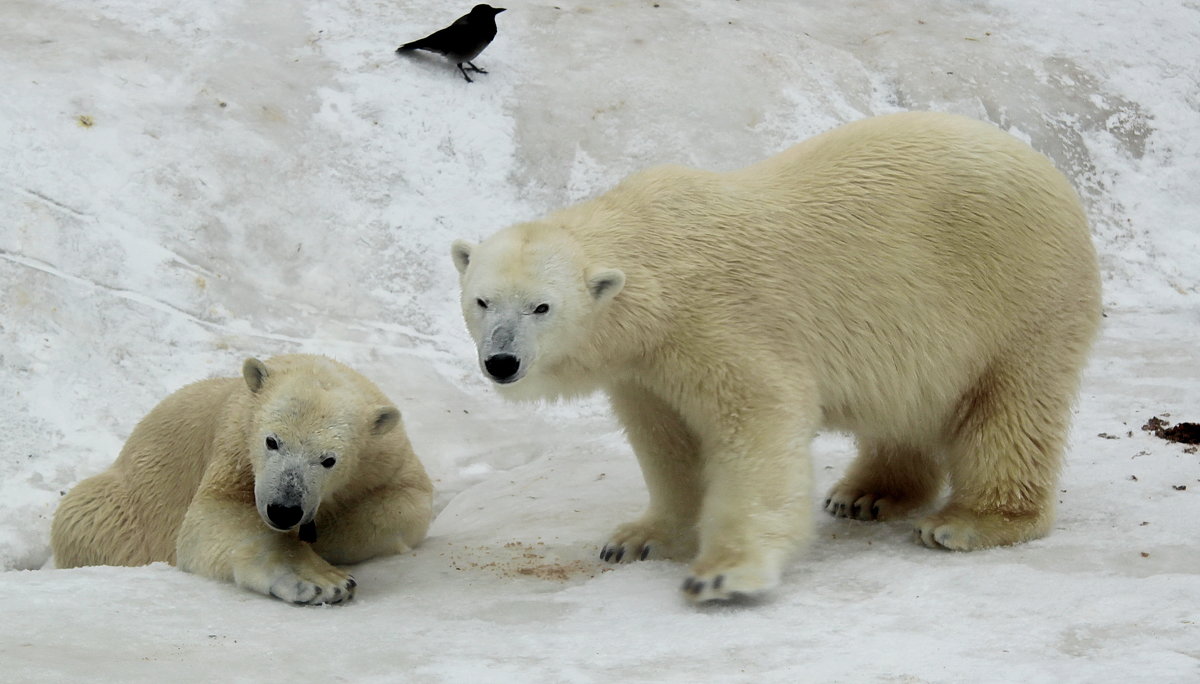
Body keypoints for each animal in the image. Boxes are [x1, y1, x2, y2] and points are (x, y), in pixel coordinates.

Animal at [54, 350, 436, 602]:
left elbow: (408, 504)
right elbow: (213, 516)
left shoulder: (383, 456)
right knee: (85, 515)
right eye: (272, 441)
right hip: (123, 509)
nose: (284, 510)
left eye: (329, 459)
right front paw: (320, 579)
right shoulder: (236, 448)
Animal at [451, 111, 1104, 602]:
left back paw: (966, 522)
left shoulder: (719, 325)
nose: (501, 363)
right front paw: (638, 538)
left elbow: (756, 427)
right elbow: (668, 445)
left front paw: (723, 573)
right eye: (482, 301)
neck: (658, 266)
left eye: (541, 307)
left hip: (1018, 298)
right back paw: (866, 494)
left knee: (1012, 410)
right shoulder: (645, 368)